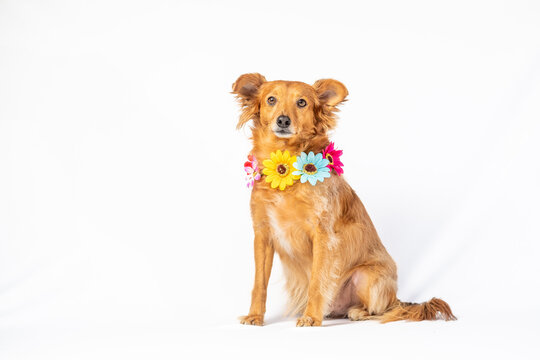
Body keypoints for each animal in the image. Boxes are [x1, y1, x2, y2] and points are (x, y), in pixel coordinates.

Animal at [232, 73, 456, 326]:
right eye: (271, 99)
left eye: (302, 102)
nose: (283, 121)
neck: (285, 167)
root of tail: (396, 297)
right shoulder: (263, 235)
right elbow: (259, 283)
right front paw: (255, 316)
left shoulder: (323, 235)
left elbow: (317, 282)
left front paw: (311, 318)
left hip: (367, 275)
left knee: (382, 310)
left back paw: (358, 312)